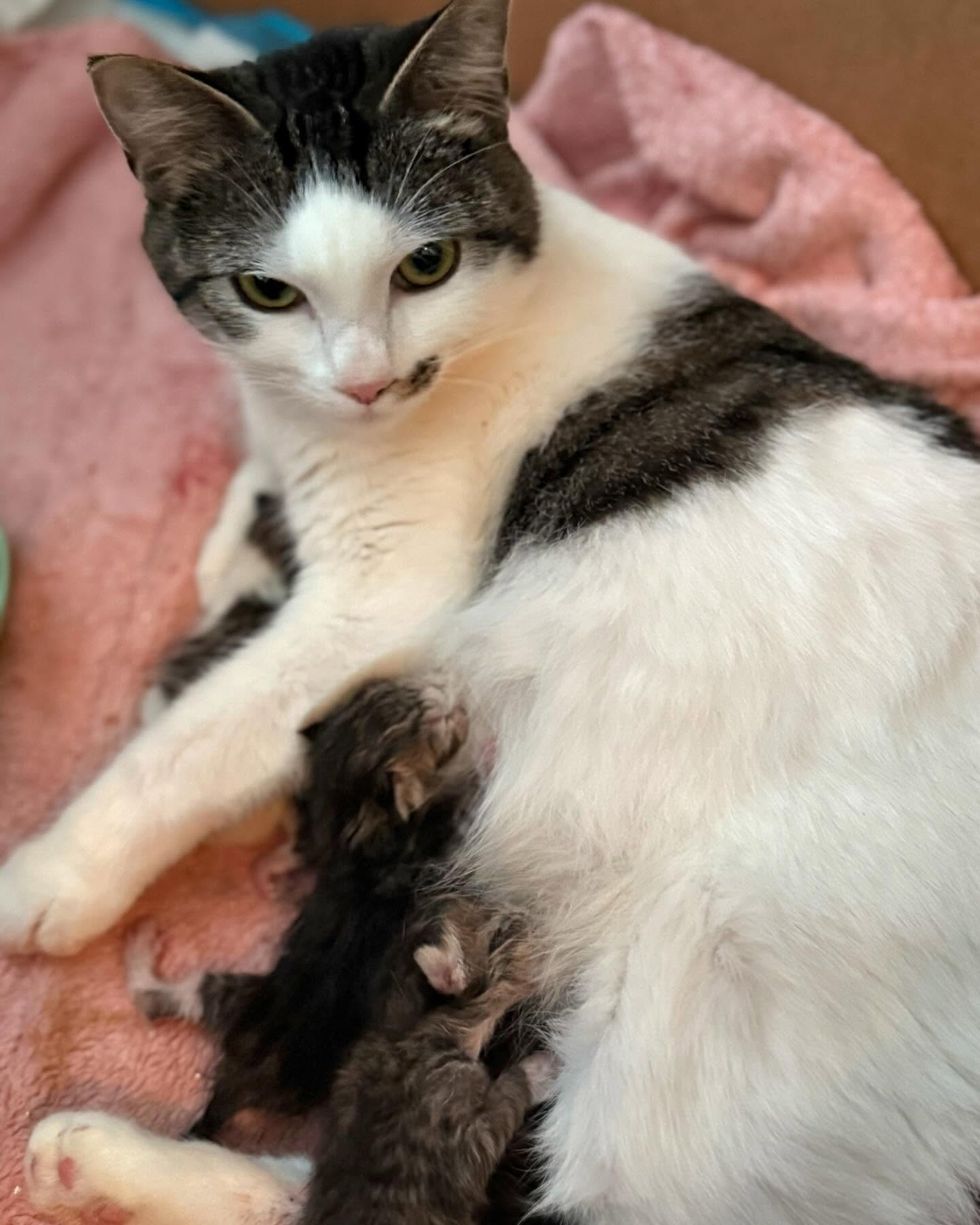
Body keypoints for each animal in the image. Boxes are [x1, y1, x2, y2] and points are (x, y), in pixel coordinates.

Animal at [7, 2, 980, 1225]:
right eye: (270, 293)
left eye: (424, 265)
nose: (365, 379)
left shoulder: (380, 593)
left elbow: (194, 742)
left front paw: (52, 873)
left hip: (688, 1049)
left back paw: (105, 1158)